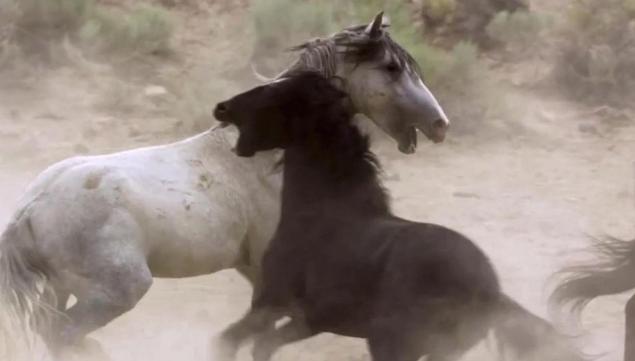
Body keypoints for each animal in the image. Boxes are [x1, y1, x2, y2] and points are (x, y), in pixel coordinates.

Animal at [0, 11, 450, 358]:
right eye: (392, 67)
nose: (440, 124)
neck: (273, 159)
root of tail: (30, 209)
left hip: (60, 291)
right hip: (116, 290)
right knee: (63, 332)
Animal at [214, 71, 588, 360]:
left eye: (274, 92)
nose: (222, 107)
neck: (322, 211)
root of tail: (488, 291)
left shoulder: (271, 301)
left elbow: (229, 341)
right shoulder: (309, 320)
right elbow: (260, 346)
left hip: (391, 343)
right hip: (440, 352)